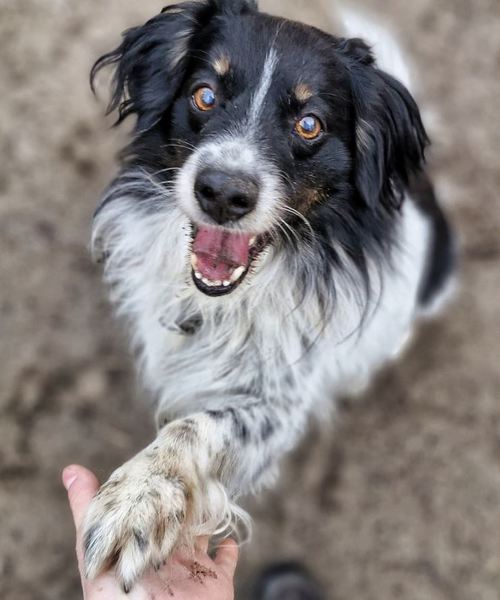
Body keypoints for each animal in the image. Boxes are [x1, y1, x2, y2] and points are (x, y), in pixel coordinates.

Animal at [85, 0, 455, 591]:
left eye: (309, 124)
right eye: (205, 94)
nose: (222, 192)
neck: (221, 303)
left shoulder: (277, 404)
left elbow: (197, 425)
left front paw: (138, 501)